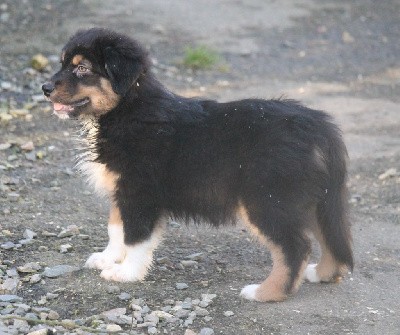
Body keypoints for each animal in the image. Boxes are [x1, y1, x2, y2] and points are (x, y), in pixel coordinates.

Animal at [43, 27, 354, 304]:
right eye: (62, 64)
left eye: (82, 68)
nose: (44, 88)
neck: (126, 108)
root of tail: (319, 126)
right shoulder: (121, 190)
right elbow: (116, 228)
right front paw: (107, 259)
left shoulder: (139, 192)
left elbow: (135, 237)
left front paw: (126, 273)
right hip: (310, 199)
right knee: (328, 236)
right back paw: (322, 274)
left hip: (267, 199)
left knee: (295, 247)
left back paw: (265, 293)